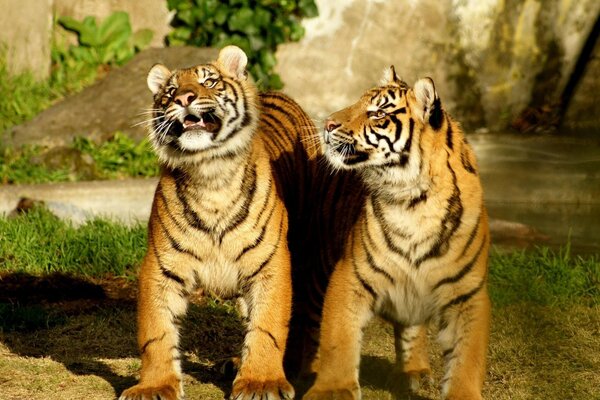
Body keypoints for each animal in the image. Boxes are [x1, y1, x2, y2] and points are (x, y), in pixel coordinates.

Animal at [118, 45, 318, 400]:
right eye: (169, 91)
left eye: (208, 82)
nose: (183, 98)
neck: (209, 174)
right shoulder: (160, 266)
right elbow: (156, 332)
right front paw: (154, 386)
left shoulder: (272, 264)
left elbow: (268, 326)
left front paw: (261, 382)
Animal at [302, 67, 490, 398]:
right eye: (358, 101)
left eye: (377, 113)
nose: (327, 124)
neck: (415, 202)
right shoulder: (349, 275)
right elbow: (338, 338)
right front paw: (333, 389)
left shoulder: (468, 293)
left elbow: (468, 357)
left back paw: (414, 372)